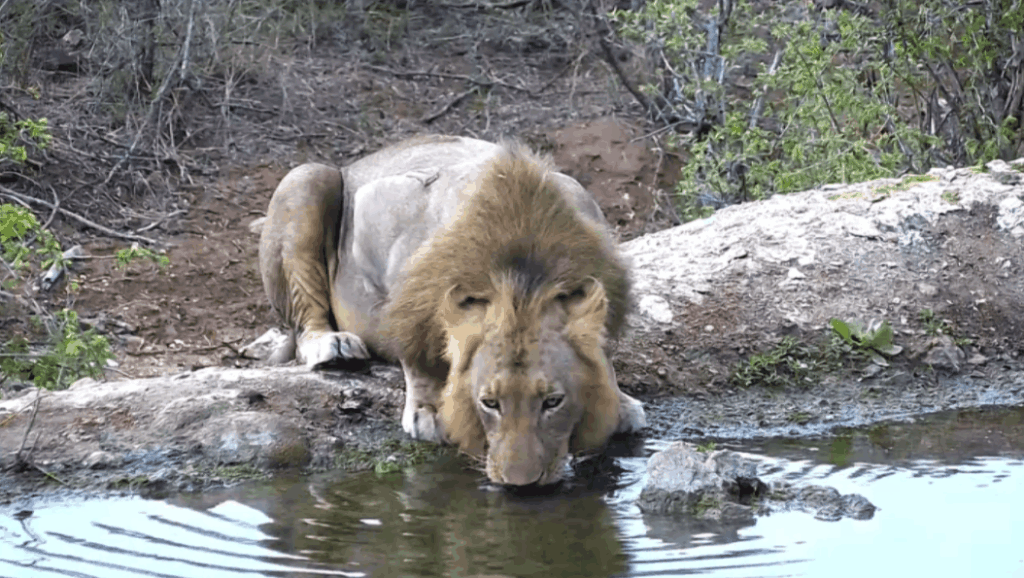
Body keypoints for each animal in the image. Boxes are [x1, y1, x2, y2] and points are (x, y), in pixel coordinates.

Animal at [254, 134, 643, 483]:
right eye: (489, 403)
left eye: (553, 402)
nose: (522, 482)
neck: (521, 269)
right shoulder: (387, 214)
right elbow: (411, 338)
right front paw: (430, 411)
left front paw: (619, 402)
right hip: (305, 179)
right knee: (306, 323)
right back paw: (332, 345)